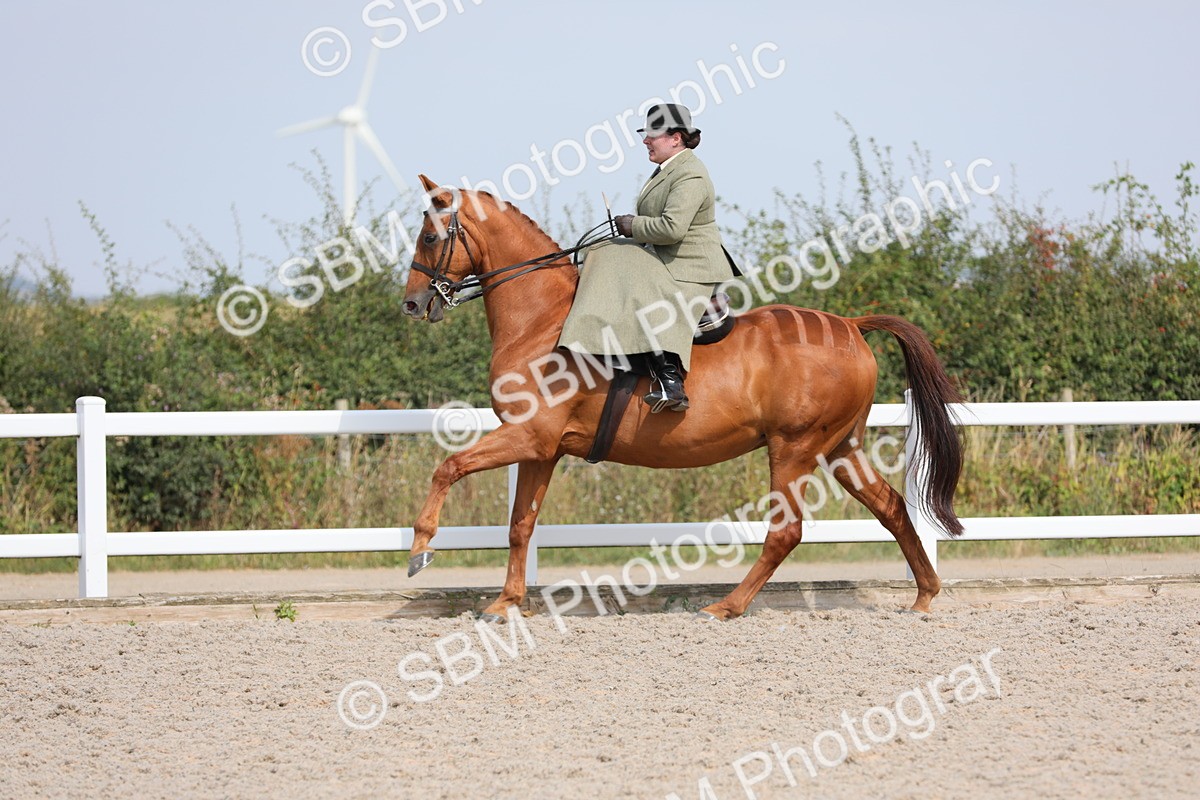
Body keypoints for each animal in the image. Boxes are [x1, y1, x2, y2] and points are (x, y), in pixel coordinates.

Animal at [400, 175, 964, 621]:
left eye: (429, 236)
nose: (412, 304)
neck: (544, 320)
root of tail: (850, 324)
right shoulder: (542, 449)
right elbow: (520, 525)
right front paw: (506, 603)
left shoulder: (528, 436)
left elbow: (447, 468)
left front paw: (421, 550)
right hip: (840, 447)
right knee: (892, 508)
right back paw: (924, 596)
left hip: (795, 448)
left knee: (786, 532)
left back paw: (726, 607)